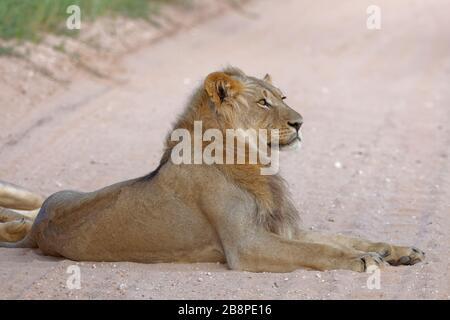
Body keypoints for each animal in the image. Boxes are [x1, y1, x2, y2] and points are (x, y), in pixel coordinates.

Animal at [0, 67, 424, 272]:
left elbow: (343, 237)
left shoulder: (281, 229)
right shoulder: (246, 246)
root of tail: (36, 231)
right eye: (264, 102)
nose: (301, 122)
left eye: (283, 97)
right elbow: (321, 249)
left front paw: (395, 250)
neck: (253, 159)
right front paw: (362, 261)